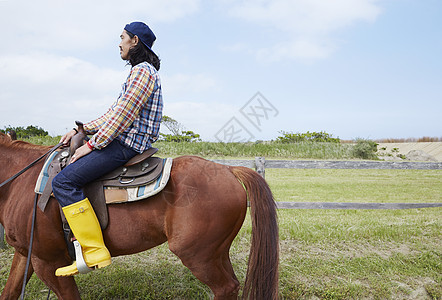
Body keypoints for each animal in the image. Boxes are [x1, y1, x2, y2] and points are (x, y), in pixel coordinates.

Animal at [0, 134, 276, 300]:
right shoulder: (27, 255)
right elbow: (10, 290)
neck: (19, 181)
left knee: (225, 288)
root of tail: (229, 169)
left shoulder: (49, 262)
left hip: (198, 256)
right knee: (232, 285)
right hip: (217, 253)